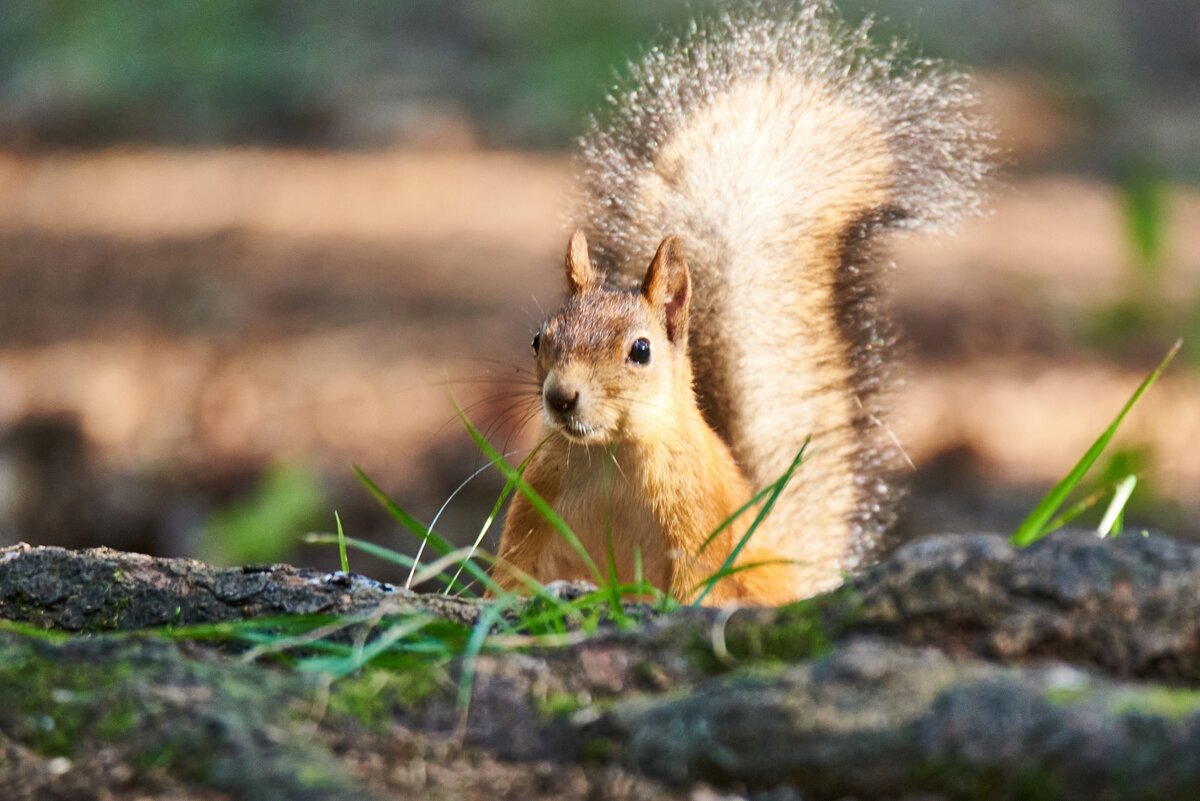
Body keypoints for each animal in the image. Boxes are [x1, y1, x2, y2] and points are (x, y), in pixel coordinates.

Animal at [492, 0, 988, 604]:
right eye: (539, 339)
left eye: (640, 350)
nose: (561, 398)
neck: (608, 455)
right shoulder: (534, 508)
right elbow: (507, 580)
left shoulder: (702, 525)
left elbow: (699, 591)